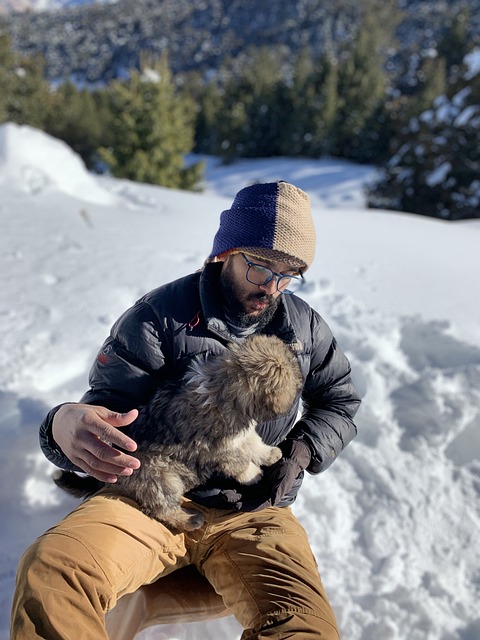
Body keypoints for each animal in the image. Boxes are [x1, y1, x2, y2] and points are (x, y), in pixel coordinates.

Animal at [54, 332, 302, 532]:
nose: (300, 389)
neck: (224, 388)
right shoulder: (218, 449)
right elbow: (238, 462)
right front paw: (253, 474)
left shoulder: (240, 436)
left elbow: (254, 445)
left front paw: (270, 454)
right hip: (159, 477)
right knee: (162, 509)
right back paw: (190, 520)